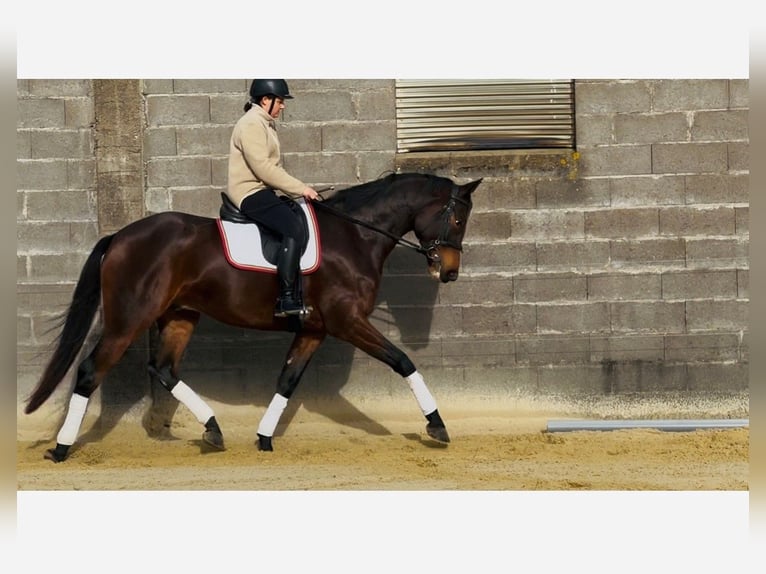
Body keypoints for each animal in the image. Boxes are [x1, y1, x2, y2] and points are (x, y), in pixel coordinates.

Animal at [24, 172, 482, 463]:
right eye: (458, 218)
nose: (449, 271)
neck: (355, 236)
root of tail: (120, 235)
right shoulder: (347, 322)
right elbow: (403, 362)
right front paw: (437, 426)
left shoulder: (314, 330)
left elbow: (287, 381)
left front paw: (263, 438)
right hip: (128, 320)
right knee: (90, 371)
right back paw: (61, 449)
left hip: (179, 316)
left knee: (164, 369)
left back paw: (213, 429)